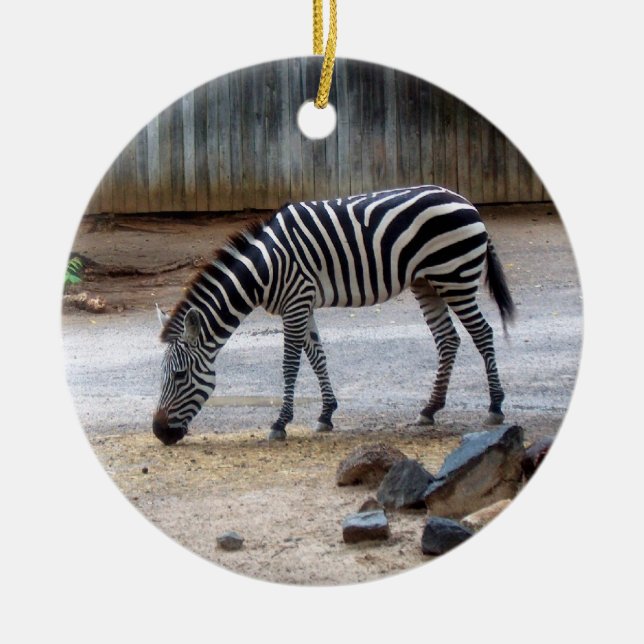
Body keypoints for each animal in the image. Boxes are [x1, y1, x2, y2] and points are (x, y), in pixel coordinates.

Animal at [153, 185, 515, 446]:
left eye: (180, 376)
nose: (159, 433)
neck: (264, 269)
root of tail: (465, 201)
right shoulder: (302, 304)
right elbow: (317, 357)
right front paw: (326, 414)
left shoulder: (296, 302)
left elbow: (290, 365)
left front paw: (281, 423)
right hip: (426, 281)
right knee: (447, 339)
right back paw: (430, 409)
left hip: (454, 276)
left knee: (482, 332)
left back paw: (495, 406)